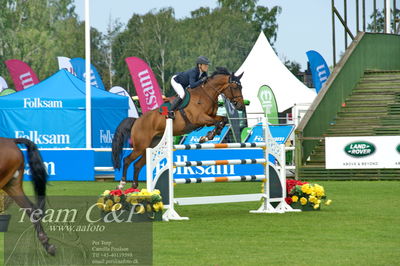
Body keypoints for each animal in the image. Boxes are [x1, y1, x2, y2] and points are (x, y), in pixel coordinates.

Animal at [111, 67, 244, 190]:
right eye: (235, 87)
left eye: (241, 87)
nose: (241, 106)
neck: (206, 94)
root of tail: (137, 120)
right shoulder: (199, 118)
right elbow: (217, 122)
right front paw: (207, 136)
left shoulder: (210, 117)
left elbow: (223, 120)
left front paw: (208, 136)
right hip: (140, 146)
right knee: (127, 160)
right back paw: (122, 184)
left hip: (151, 146)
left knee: (138, 164)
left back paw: (134, 186)